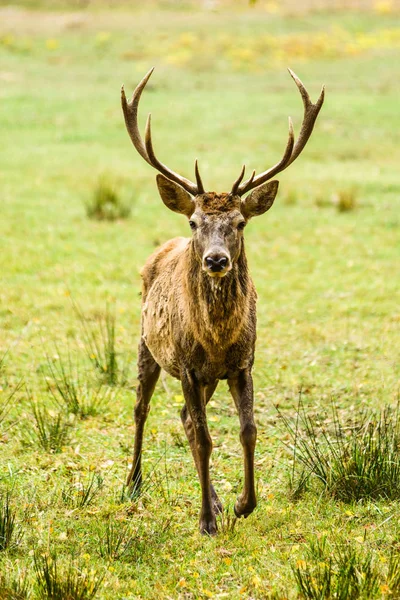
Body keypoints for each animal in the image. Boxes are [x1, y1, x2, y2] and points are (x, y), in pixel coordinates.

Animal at [120, 69, 324, 536]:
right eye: (195, 221)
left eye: (240, 222)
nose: (215, 260)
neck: (216, 339)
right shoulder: (187, 366)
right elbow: (205, 437)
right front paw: (206, 522)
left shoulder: (242, 362)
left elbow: (247, 429)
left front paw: (242, 504)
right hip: (147, 345)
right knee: (143, 408)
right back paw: (134, 483)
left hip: (205, 377)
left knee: (182, 416)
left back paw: (211, 497)